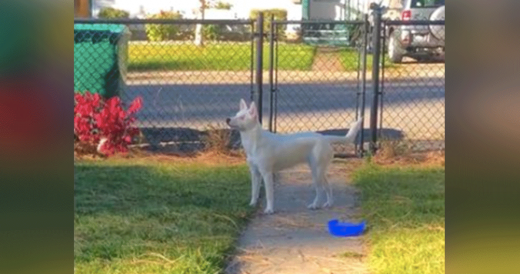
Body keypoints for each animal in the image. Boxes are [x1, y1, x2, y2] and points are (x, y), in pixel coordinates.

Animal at [225, 98, 364, 214]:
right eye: (236, 114)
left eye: (242, 117)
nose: (227, 119)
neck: (254, 142)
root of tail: (325, 138)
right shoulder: (255, 173)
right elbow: (254, 192)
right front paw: (252, 205)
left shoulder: (267, 174)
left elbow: (269, 194)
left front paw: (269, 209)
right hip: (319, 171)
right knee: (328, 187)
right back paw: (329, 203)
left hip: (316, 172)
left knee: (319, 190)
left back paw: (315, 205)